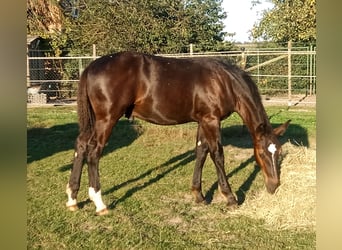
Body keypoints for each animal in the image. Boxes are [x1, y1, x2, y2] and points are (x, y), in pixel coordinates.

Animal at [65, 51, 290, 215]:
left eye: (278, 153)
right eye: (261, 154)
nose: (274, 186)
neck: (224, 81)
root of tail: (91, 67)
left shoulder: (203, 121)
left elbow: (201, 152)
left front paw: (198, 195)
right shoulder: (211, 120)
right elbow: (217, 154)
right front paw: (230, 197)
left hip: (94, 122)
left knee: (81, 145)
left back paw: (72, 198)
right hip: (107, 120)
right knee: (94, 151)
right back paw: (99, 203)